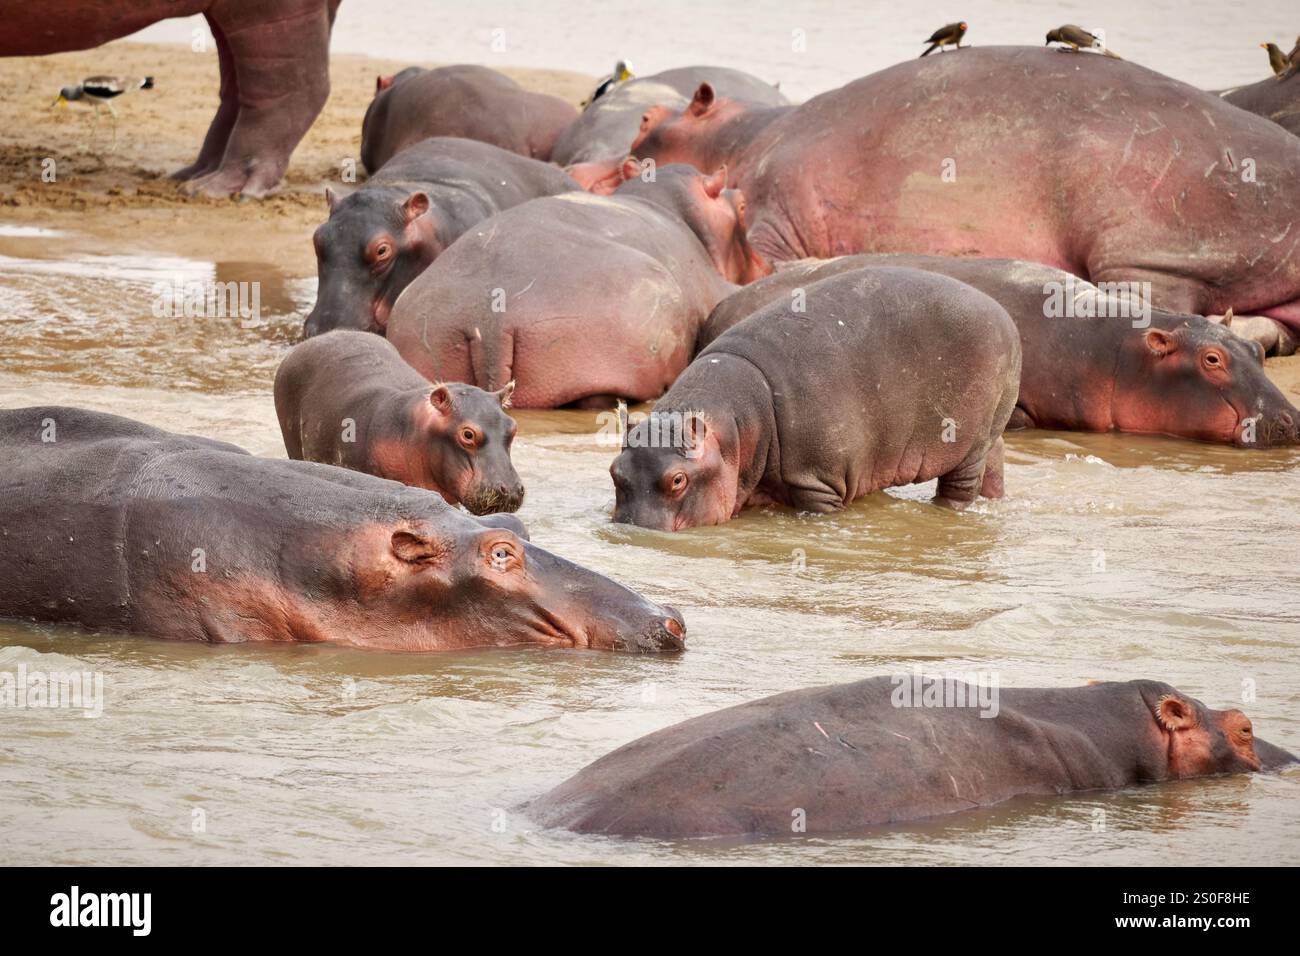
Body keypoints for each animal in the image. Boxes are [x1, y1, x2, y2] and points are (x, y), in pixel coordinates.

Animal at [611, 267, 1021, 530]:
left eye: (677, 480)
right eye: (615, 471)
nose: (634, 532)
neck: (735, 431)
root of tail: (1003, 314)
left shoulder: (817, 481)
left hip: (967, 445)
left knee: (959, 487)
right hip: (990, 433)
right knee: (996, 460)